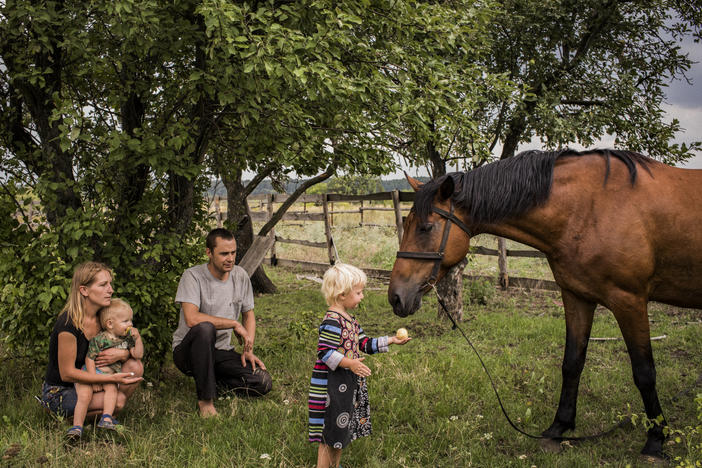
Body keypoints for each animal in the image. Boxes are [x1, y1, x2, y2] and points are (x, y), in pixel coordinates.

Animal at [390, 149, 702, 458]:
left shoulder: (630, 301)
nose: (396, 296)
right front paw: (559, 427)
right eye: (407, 223)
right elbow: (572, 363)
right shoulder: (577, 297)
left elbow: (644, 372)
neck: (591, 208)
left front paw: (656, 439)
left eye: (426, 227)